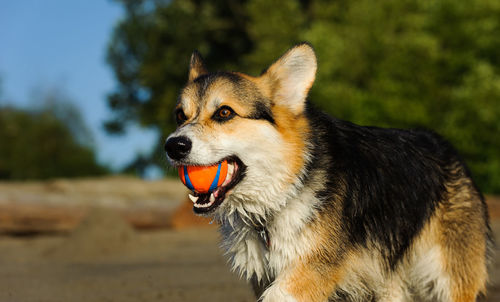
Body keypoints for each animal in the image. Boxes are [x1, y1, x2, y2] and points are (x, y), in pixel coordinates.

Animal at [166, 43, 494, 302]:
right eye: (180, 115)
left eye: (224, 113)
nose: (173, 145)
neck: (280, 196)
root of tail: (446, 148)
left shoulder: (307, 274)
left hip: (447, 279)